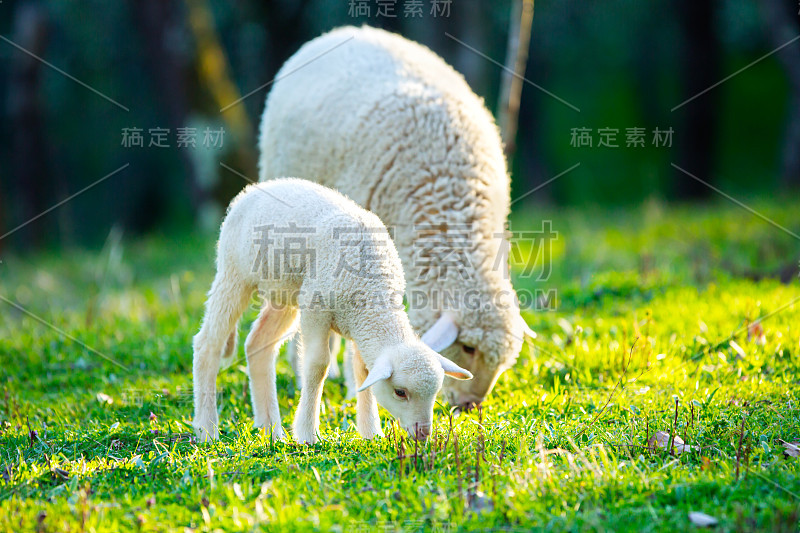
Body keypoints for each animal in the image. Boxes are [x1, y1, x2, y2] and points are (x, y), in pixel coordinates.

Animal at [191, 179, 472, 444]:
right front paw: (307, 433)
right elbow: (318, 365)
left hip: (285, 292)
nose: (423, 433)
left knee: (258, 344)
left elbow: (363, 371)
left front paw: (371, 432)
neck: (372, 289)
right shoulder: (317, 308)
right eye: (400, 392)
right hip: (234, 273)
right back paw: (207, 429)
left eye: (435, 393)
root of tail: (252, 190)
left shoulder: (360, 325)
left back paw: (271, 430)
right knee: (208, 343)